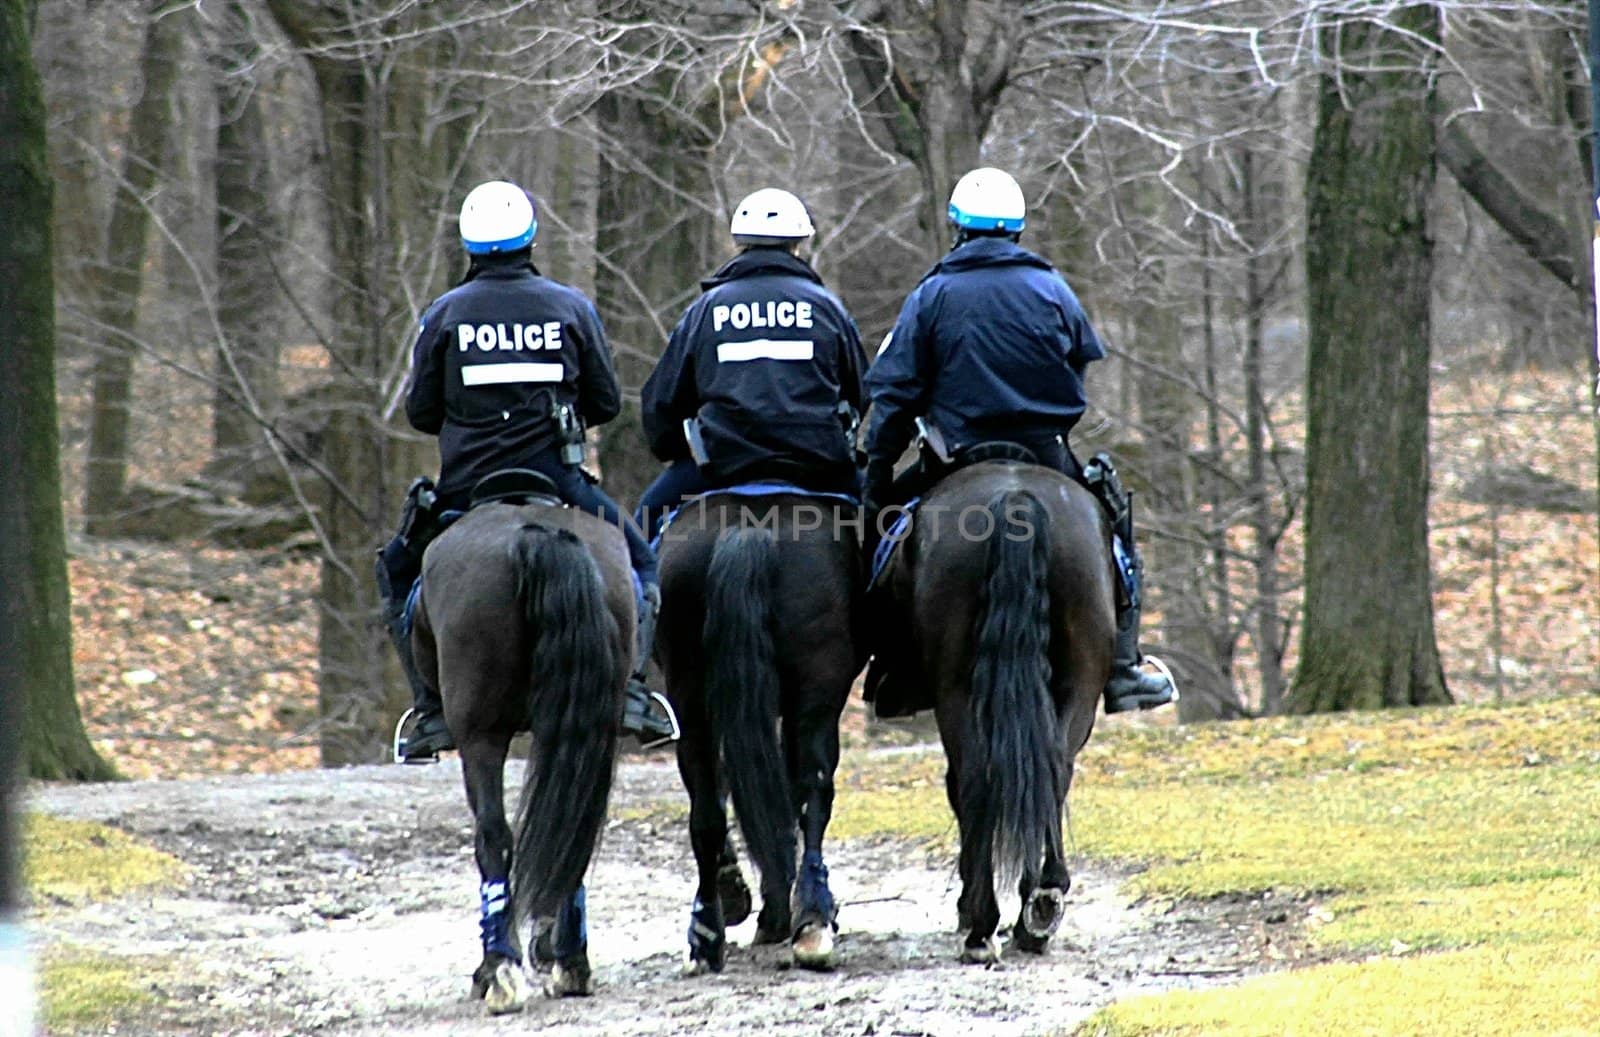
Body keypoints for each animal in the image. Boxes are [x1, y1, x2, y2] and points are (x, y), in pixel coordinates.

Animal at [409, 492, 633, 1011]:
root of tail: (539, 533)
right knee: (576, 826)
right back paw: (570, 963)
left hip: (480, 734)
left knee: (493, 837)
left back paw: (498, 969)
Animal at [656, 492, 870, 972]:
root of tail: (747, 527)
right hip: (813, 696)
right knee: (810, 793)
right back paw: (809, 919)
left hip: (692, 701)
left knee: (708, 810)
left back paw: (707, 934)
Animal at [876, 460, 1113, 966]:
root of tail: (1016, 497)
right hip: (1076, 683)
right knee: (1049, 770)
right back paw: (1038, 905)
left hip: (958, 689)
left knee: (981, 778)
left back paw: (989, 920)